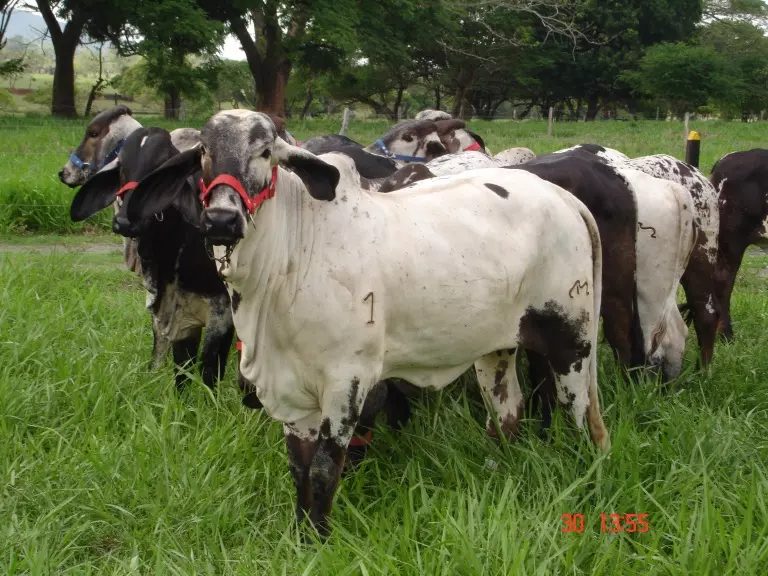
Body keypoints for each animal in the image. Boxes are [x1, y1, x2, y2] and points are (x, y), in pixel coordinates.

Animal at [130, 111, 612, 536]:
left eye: (266, 152)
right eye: (204, 152)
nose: (222, 220)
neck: (288, 262)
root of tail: (565, 200)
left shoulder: (347, 382)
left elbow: (324, 469)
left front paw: (319, 538)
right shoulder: (292, 394)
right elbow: (299, 469)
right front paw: (301, 535)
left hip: (572, 343)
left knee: (582, 420)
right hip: (496, 351)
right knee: (509, 412)